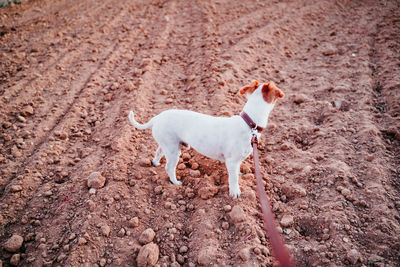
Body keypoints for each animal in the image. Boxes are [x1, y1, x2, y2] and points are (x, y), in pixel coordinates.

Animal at [129, 80, 284, 198]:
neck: (249, 124)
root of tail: (157, 117)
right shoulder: (231, 161)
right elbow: (233, 179)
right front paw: (235, 192)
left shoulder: (237, 160)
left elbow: (237, 172)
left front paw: (240, 174)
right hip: (173, 151)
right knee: (169, 167)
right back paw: (175, 183)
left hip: (167, 144)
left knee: (158, 152)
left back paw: (155, 163)